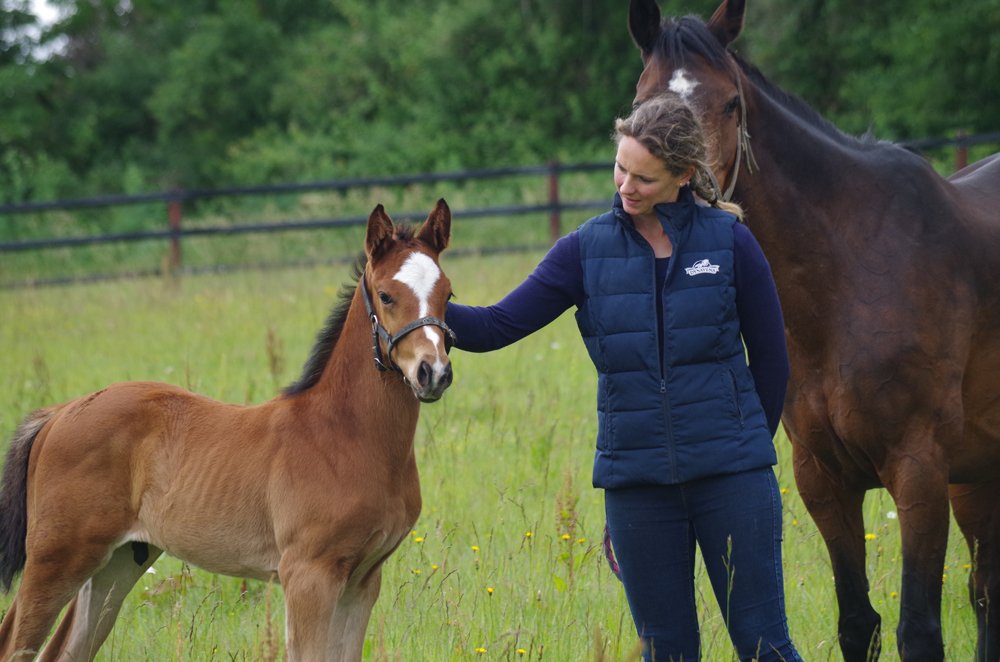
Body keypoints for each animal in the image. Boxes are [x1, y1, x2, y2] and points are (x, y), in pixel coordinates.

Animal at [0, 200, 456, 661]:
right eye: (387, 295)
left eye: (448, 294)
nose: (432, 373)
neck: (346, 436)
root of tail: (60, 412)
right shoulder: (308, 574)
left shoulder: (363, 579)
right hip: (56, 557)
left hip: (118, 562)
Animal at [627, 1, 1000, 660]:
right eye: (643, 98)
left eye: (731, 103)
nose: (681, 196)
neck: (850, 276)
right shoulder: (824, 480)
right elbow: (858, 623)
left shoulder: (920, 471)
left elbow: (918, 630)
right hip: (977, 478)